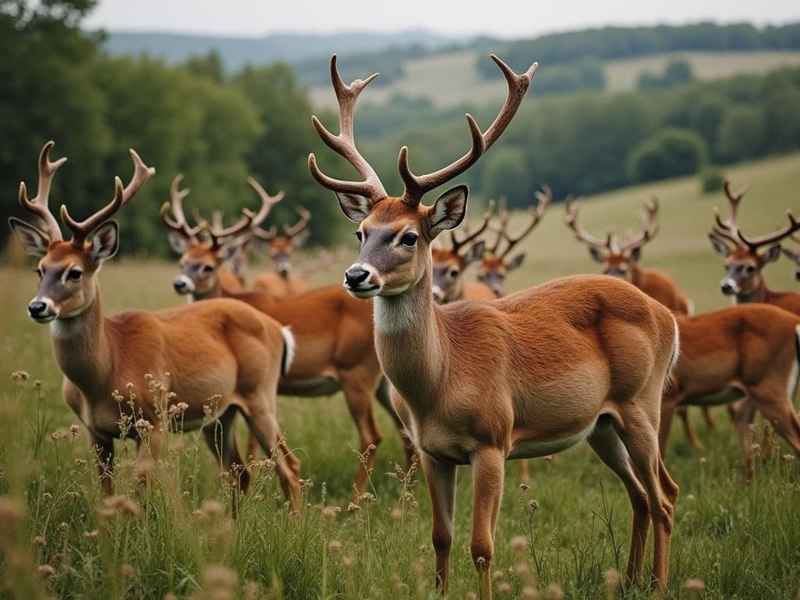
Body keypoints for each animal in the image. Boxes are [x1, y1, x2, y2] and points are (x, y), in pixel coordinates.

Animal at [7, 142, 301, 512]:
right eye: (40, 269)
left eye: (74, 272)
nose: (37, 306)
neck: (106, 369)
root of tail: (277, 328)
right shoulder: (95, 431)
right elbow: (108, 494)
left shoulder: (155, 421)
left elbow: (140, 493)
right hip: (220, 414)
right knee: (240, 472)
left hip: (260, 393)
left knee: (289, 466)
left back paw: (295, 520)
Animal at [161, 176, 413, 495]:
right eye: (182, 260)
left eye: (207, 266)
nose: (180, 283)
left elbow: (252, 442)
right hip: (382, 381)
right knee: (405, 429)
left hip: (356, 371)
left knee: (371, 435)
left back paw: (355, 500)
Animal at [308, 54, 680, 597]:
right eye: (361, 232)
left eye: (409, 237)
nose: (357, 276)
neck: (440, 380)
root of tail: (668, 316)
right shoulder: (433, 452)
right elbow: (440, 537)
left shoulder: (492, 440)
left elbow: (482, 546)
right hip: (602, 423)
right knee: (639, 494)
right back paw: (630, 580)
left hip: (641, 401)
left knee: (665, 496)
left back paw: (659, 582)